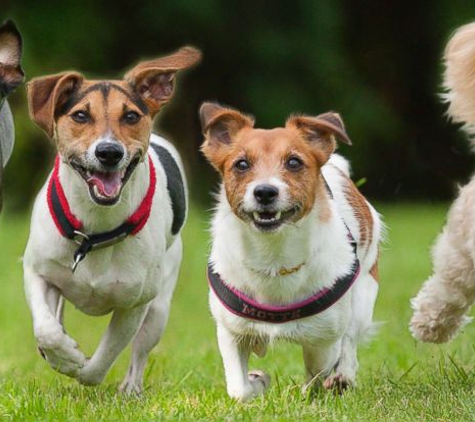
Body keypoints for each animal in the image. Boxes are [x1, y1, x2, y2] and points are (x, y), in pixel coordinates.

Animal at [23, 46, 201, 392]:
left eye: (130, 116)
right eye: (81, 115)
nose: (109, 152)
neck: (94, 232)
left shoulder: (135, 304)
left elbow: (101, 361)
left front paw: (78, 366)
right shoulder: (37, 271)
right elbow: (46, 329)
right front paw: (63, 353)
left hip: (159, 306)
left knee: (140, 351)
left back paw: (131, 389)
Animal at [201, 103, 384, 402]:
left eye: (294, 162)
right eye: (241, 164)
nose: (265, 191)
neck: (274, 257)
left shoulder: (324, 340)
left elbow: (318, 371)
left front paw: (314, 389)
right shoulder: (230, 331)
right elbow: (239, 390)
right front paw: (257, 382)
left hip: (363, 294)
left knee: (350, 341)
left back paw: (343, 376)